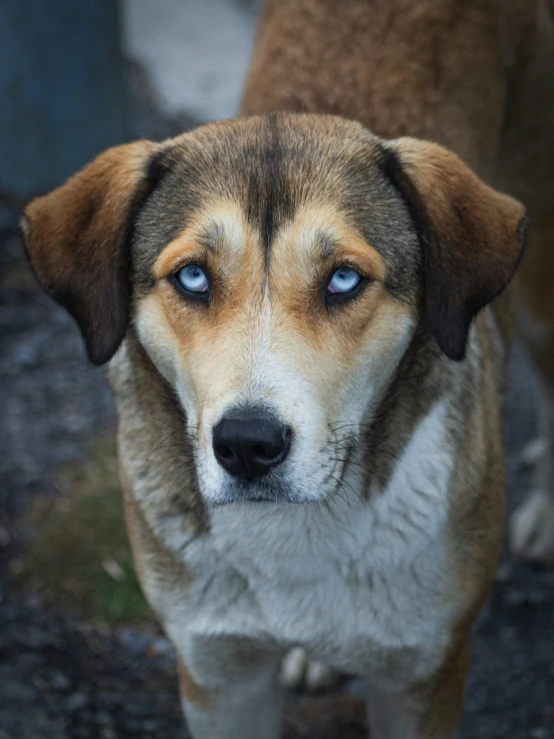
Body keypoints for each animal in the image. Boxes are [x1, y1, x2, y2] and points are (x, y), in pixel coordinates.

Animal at [20, 1, 552, 739]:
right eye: (192, 276)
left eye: (344, 279)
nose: (248, 444)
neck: (294, 533)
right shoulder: (217, 672)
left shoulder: (424, 672)